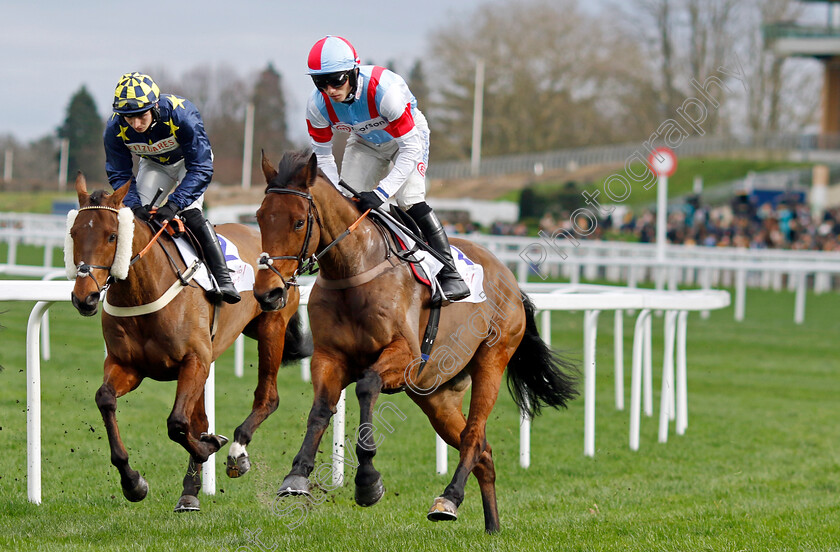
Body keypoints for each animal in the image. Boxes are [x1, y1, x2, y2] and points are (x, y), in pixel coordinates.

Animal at [66, 174, 308, 512]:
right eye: (74, 233)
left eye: (112, 236)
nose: (84, 297)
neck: (143, 291)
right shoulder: (128, 366)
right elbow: (105, 399)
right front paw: (133, 482)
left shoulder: (193, 360)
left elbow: (177, 423)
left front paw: (210, 446)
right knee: (201, 417)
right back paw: (190, 491)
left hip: (272, 326)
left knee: (268, 397)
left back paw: (236, 453)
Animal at [251, 152, 576, 536]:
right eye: (260, 217)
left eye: (299, 222)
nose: (268, 293)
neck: (353, 270)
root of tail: (510, 280)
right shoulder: (329, 357)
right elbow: (320, 410)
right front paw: (297, 475)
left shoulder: (405, 357)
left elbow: (366, 386)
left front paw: (367, 480)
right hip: (436, 394)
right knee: (484, 452)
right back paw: (492, 526)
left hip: (491, 361)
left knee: (474, 437)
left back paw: (448, 499)